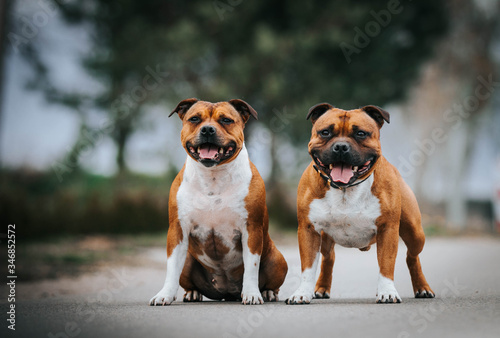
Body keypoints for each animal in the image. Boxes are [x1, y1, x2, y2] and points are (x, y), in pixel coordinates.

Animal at [150, 98, 288, 306]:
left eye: (226, 120)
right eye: (195, 119)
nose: (207, 129)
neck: (212, 176)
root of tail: (228, 292)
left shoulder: (251, 229)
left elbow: (252, 267)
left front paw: (252, 294)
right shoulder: (177, 230)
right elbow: (172, 268)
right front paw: (164, 295)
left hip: (277, 260)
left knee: (271, 281)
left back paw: (268, 293)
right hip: (188, 260)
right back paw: (192, 293)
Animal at [288, 103, 436, 304]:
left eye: (361, 134)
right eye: (325, 132)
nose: (341, 147)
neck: (345, 189)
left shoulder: (387, 229)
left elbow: (386, 264)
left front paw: (387, 292)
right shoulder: (309, 230)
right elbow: (308, 267)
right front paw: (302, 293)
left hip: (414, 232)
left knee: (412, 256)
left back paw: (422, 288)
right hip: (325, 238)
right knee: (329, 258)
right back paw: (321, 288)